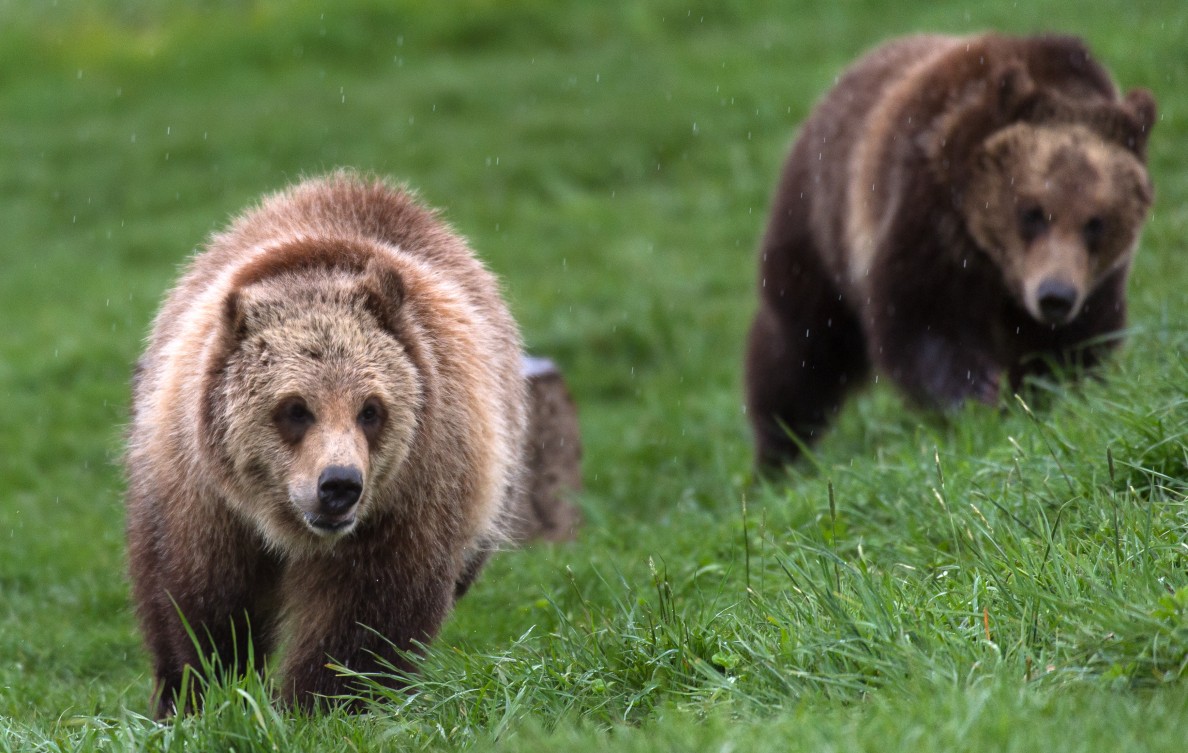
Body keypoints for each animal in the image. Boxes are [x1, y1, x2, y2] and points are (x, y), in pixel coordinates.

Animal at [125, 171, 528, 716]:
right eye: (295, 408)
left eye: (371, 410)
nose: (338, 485)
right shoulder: (201, 497)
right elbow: (199, 602)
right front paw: (198, 694)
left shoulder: (407, 502)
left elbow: (365, 619)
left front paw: (321, 703)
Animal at [744, 33, 1156, 468]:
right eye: (1032, 212)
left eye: (1096, 222)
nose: (1054, 296)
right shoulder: (933, 216)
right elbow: (922, 320)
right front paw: (977, 396)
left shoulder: (1096, 281)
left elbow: (1078, 342)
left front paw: (1053, 393)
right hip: (818, 225)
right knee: (800, 347)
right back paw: (781, 454)